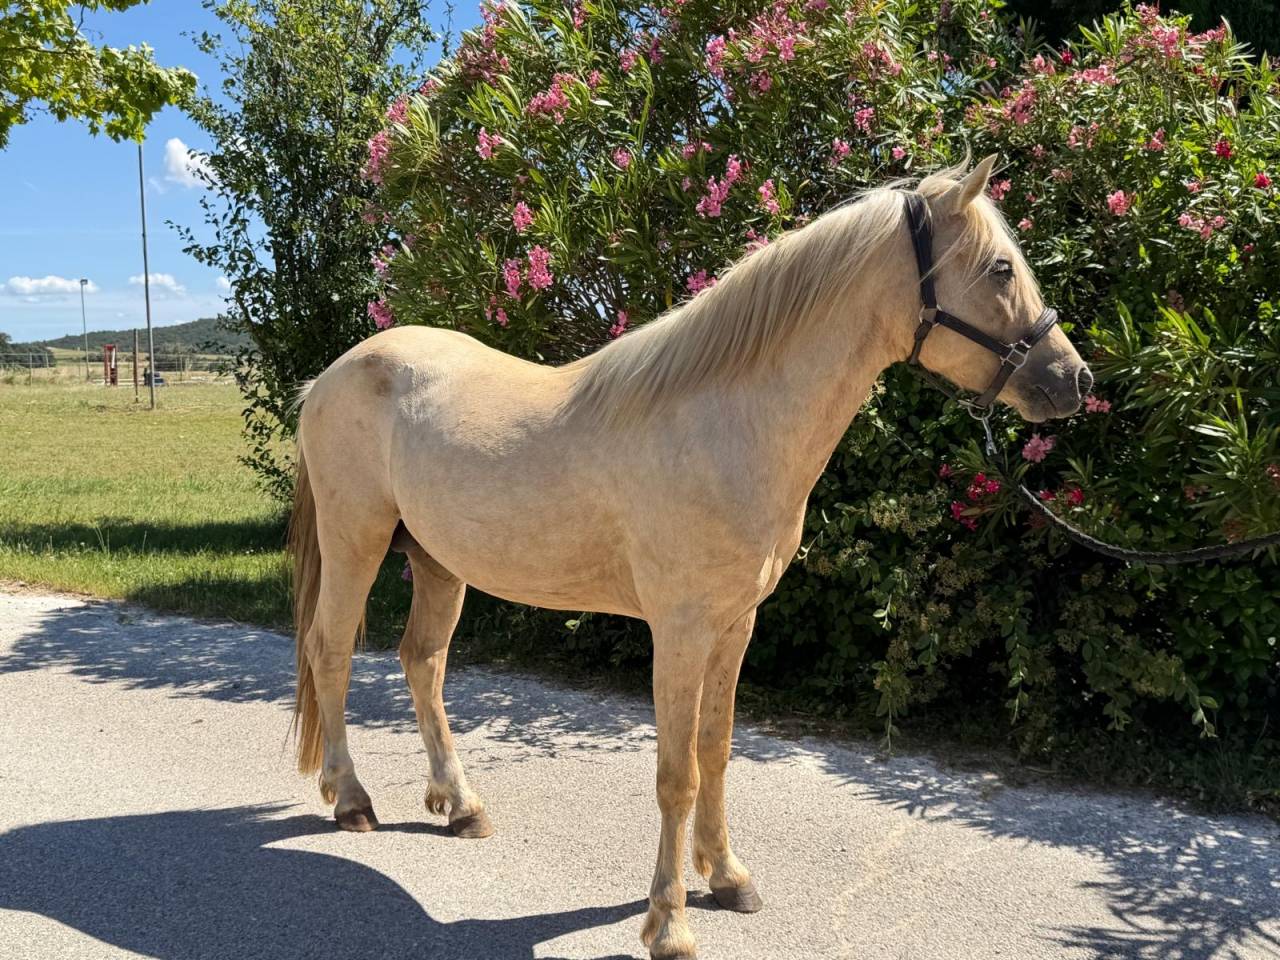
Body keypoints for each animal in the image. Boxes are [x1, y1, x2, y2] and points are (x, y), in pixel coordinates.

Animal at [287, 155, 1091, 960]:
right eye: (999, 268)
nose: (1074, 381)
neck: (727, 425)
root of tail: (328, 377)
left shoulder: (735, 626)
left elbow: (716, 752)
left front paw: (728, 877)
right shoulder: (679, 631)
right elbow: (676, 775)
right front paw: (669, 922)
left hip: (438, 562)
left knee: (422, 661)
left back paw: (459, 805)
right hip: (357, 542)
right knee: (331, 649)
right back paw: (352, 799)